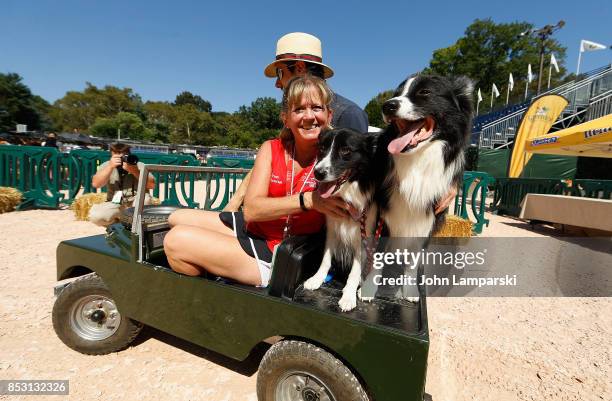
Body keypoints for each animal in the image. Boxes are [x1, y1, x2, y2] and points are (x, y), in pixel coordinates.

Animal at [302, 127, 378, 310]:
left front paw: (348, 295)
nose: (318, 173)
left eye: (345, 150)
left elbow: (355, 270)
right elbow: (326, 258)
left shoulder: (363, 237)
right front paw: (317, 278)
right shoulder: (332, 228)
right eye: (322, 148)